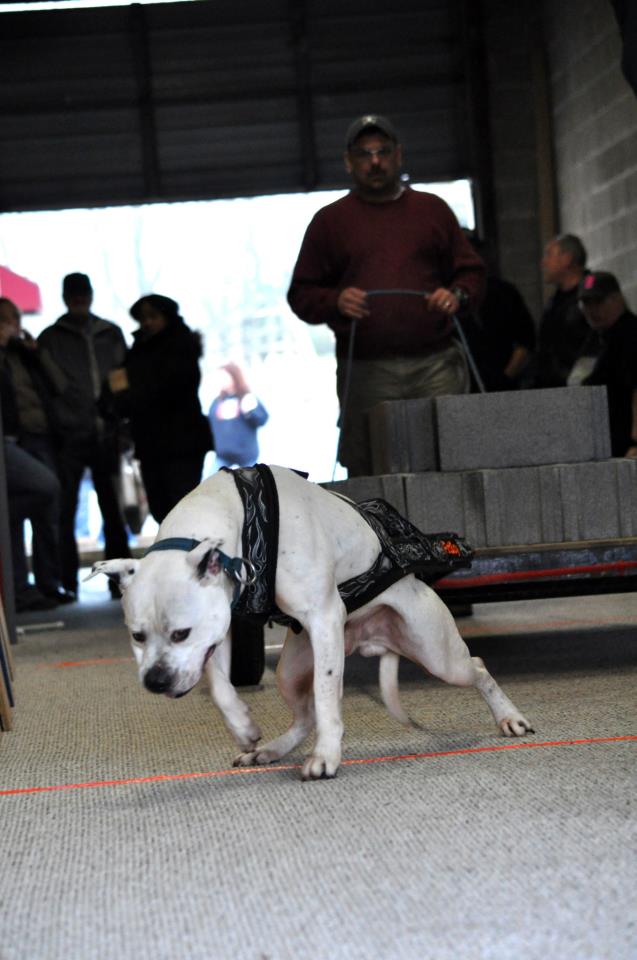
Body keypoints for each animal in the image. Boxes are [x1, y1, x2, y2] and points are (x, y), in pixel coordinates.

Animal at [87, 464, 528, 780]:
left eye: (180, 633)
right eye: (137, 636)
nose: (156, 681)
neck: (241, 515)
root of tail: (370, 638)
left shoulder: (321, 618)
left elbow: (327, 695)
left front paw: (327, 755)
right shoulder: (219, 627)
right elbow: (219, 686)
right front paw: (243, 727)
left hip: (436, 653)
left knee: (477, 667)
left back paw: (510, 717)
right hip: (291, 670)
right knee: (304, 717)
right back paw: (270, 750)